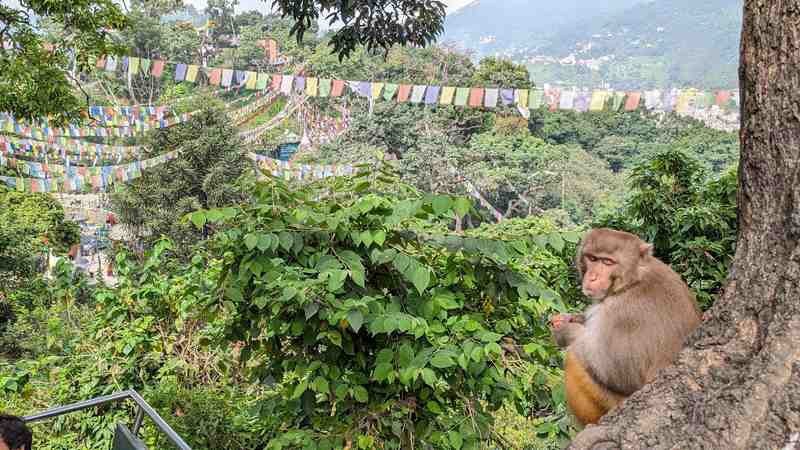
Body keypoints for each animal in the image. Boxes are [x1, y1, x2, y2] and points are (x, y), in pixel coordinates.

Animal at [552, 229, 700, 426]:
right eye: (592, 258)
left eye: (607, 262)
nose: (592, 277)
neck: (633, 280)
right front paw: (568, 318)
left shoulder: (622, 314)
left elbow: (617, 373)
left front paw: (565, 331)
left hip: (610, 402)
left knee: (574, 358)